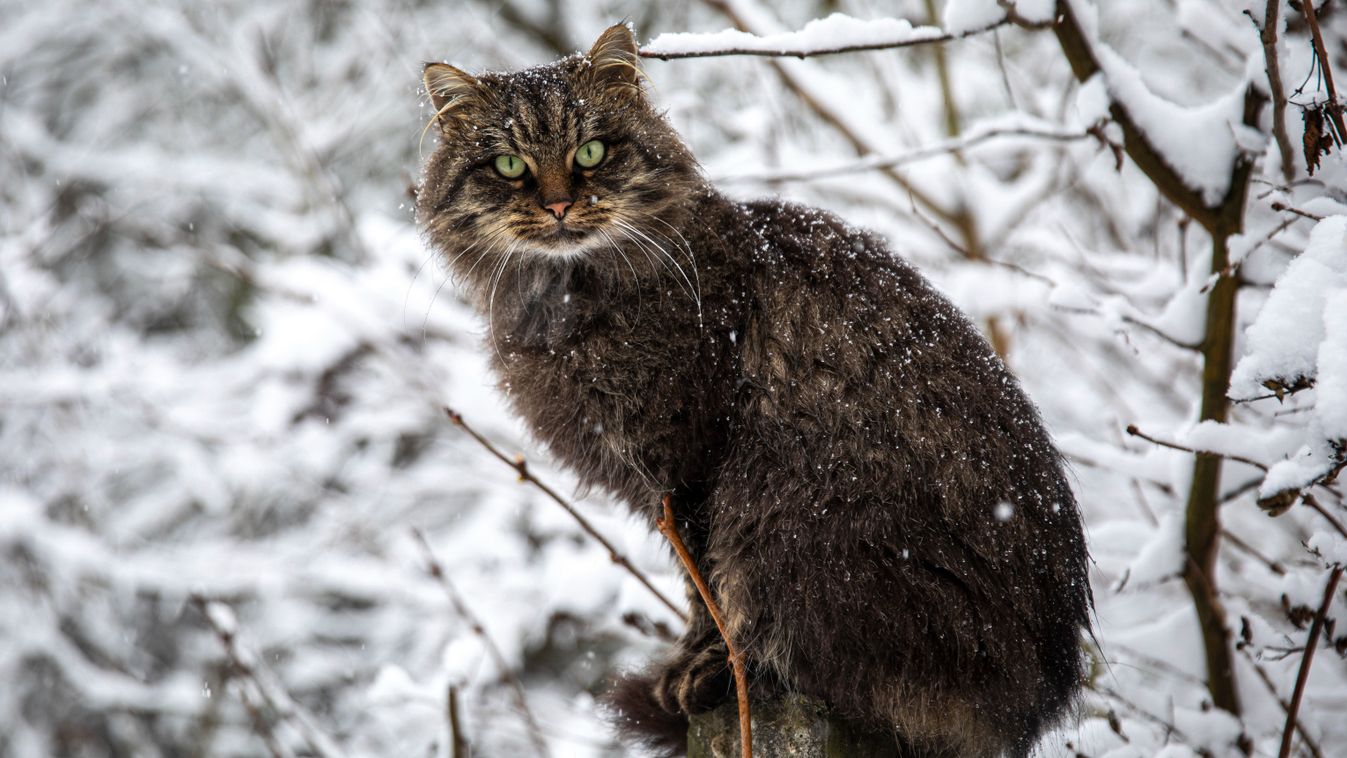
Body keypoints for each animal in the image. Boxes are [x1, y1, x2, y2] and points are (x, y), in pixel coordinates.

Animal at [417, 23, 1093, 758]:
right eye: (508, 165)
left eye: (592, 151)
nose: (558, 203)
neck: (562, 301)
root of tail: (1029, 708)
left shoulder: (689, 466)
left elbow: (704, 591)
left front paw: (700, 662)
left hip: (795, 509)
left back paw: (735, 677)